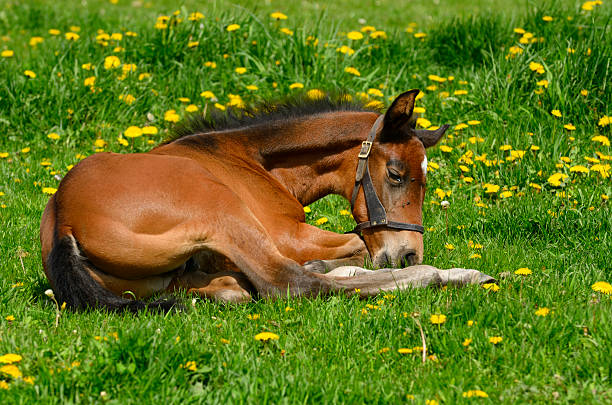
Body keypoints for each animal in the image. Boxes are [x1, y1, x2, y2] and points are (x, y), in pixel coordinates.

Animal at [39, 90, 492, 310]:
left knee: (235, 289)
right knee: (289, 283)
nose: (408, 254)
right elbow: (357, 246)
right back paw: (444, 275)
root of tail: (64, 219)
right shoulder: (285, 233)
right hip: (221, 211)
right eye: (396, 174)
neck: (251, 157)